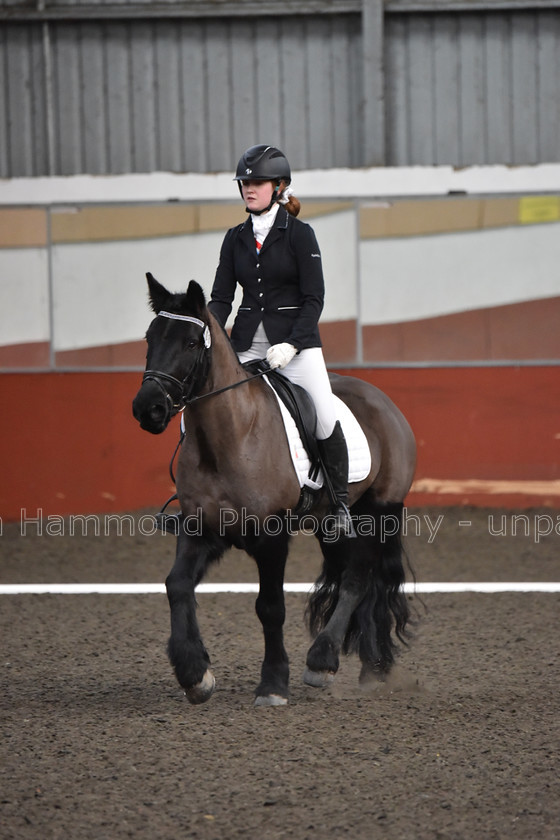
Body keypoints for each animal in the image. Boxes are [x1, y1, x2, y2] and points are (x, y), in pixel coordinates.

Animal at [132, 272, 416, 704]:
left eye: (191, 343)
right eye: (150, 337)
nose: (148, 409)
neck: (229, 439)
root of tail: (383, 401)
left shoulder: (271, 537)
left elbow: (270, 607)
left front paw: (272, 684)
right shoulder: (202, 530)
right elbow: (177, 585)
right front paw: (195, 674)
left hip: (378, 512)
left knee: (359, 578)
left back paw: (323, 661)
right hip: (329, 525)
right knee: (356, 580)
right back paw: (371, 667)